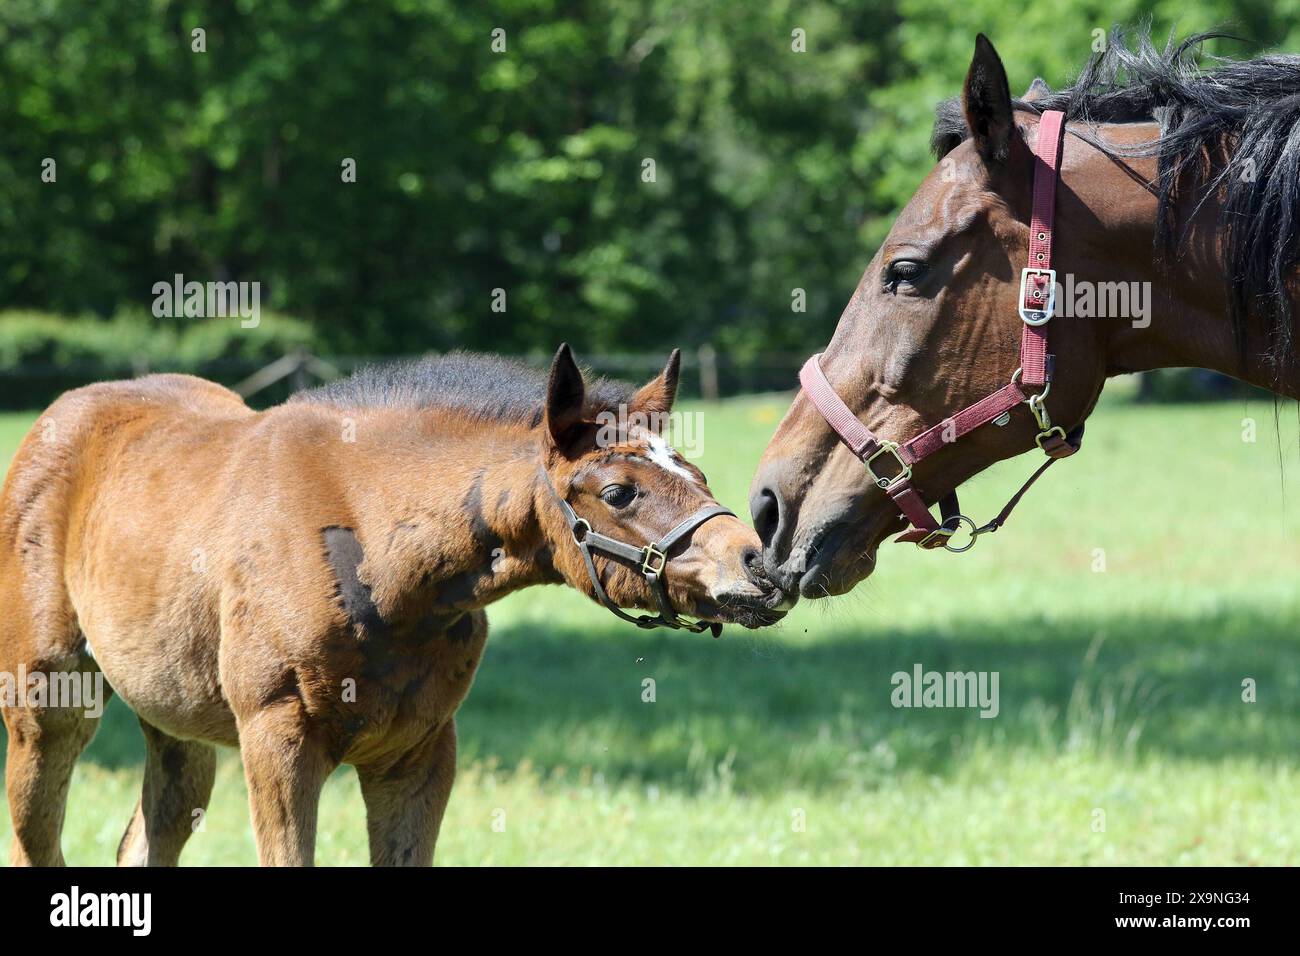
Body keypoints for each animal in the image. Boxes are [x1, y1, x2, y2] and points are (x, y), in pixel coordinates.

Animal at [0, 344, 785, 866]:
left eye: (697, 472)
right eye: (620, 491)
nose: (762, 567)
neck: (376, 554)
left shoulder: (420, 753)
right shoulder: (277, 741)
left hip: (176, 723)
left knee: (148, 836)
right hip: (48, 708)